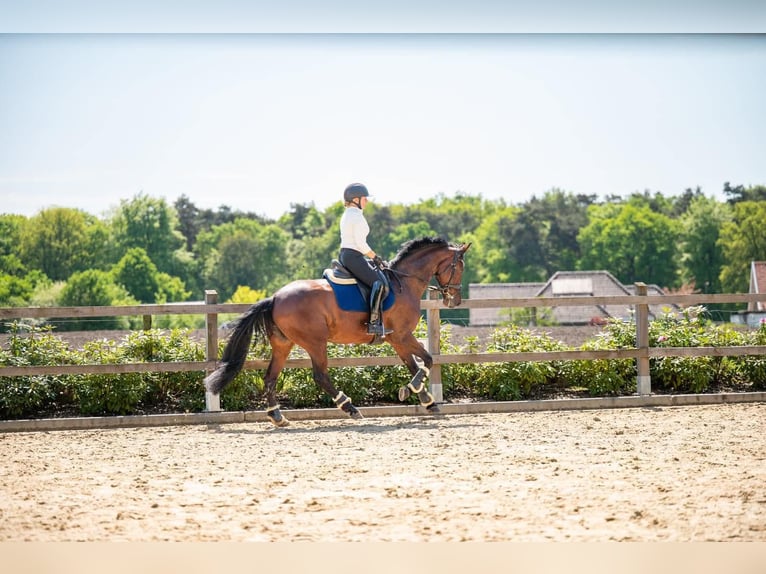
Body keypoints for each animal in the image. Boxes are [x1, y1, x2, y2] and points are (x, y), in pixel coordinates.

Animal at [204, 236, 471, 426]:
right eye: (459, 267)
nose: (454, 301)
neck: (404, 282)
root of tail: (276, 297)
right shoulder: (402, 336)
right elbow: (427, 360)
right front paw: (413, 391)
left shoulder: (397, 339)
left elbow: (415, 365)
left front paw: (426, 400)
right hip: (315, 342)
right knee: (320, 376)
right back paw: (349, 408)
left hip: (283, 344)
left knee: (270, 377)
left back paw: (277, 416)